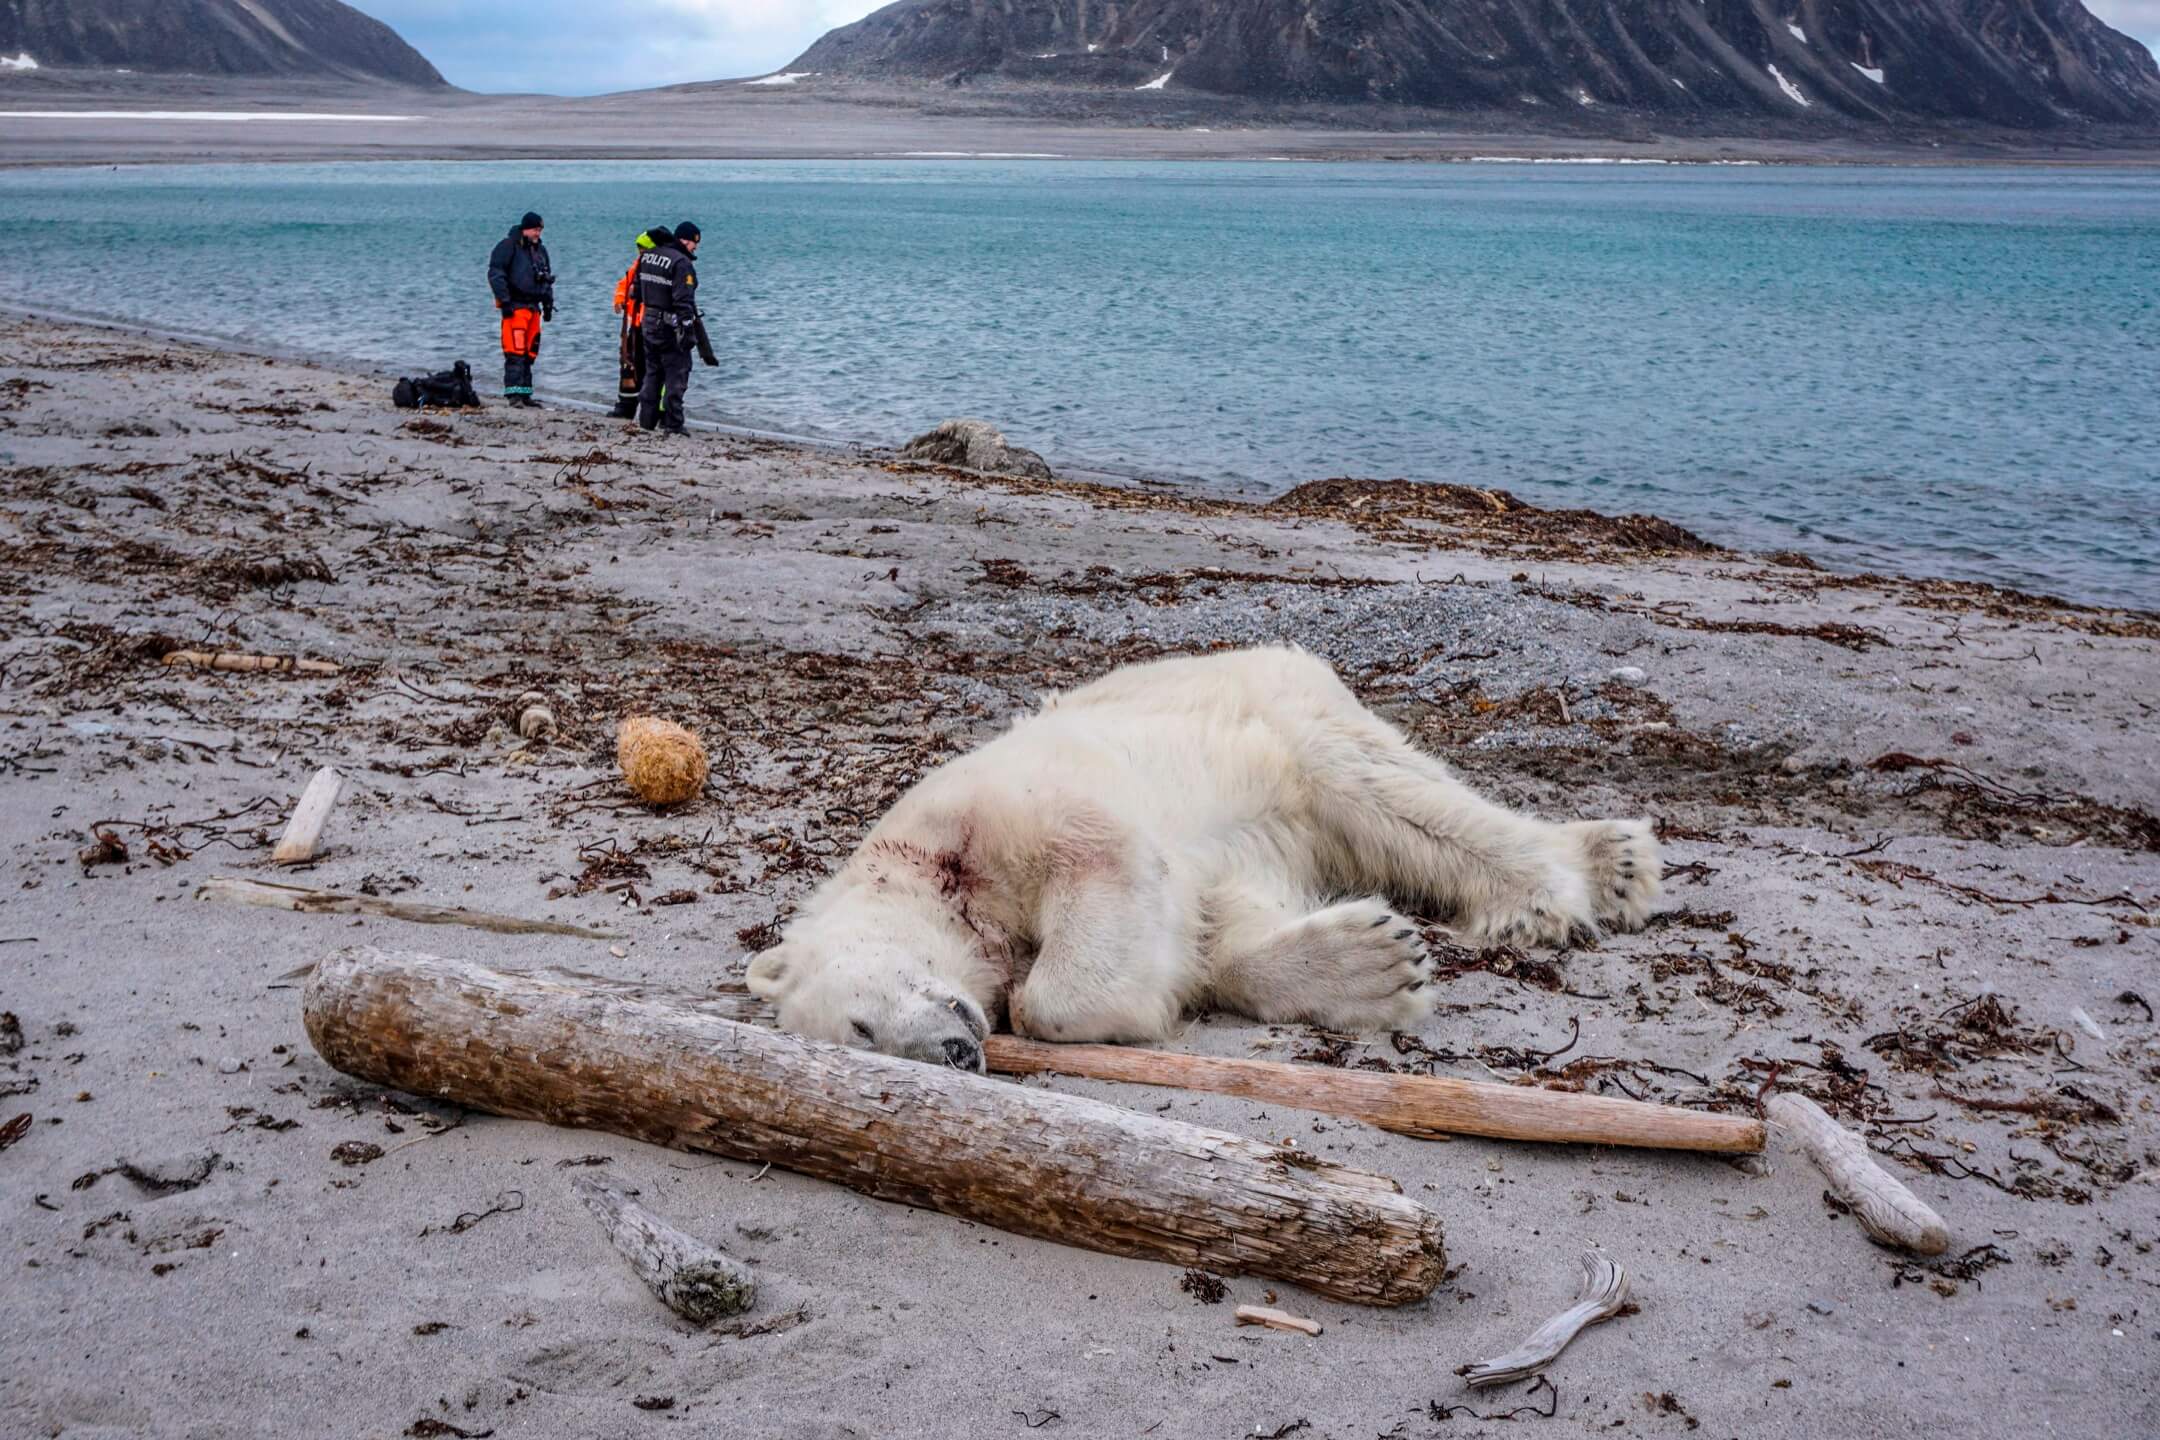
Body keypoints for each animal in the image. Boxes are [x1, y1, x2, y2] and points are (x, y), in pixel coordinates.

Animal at [751, 651, 1658, 1070]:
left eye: (860, 1026)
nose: (955, 1051)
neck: (927, 874)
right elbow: (1217, 929)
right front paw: (1372, 963)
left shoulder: (994, 812)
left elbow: (1099, 874)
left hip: (1278, 712)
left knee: (1385, 793)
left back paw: (1577, 879)